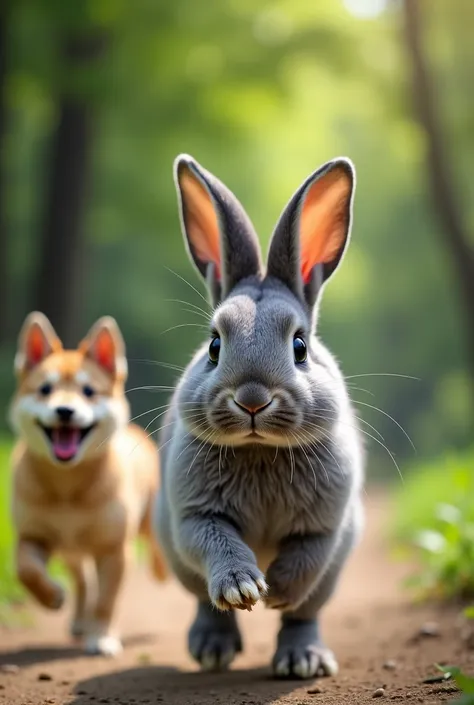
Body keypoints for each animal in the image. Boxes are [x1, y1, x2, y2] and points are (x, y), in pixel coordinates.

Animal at [9, 312, 167, 656]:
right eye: (45, 389)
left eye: (89, 392)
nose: (64, 411)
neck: (68, 488)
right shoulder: (33, 534)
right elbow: (25, 570)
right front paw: (52, 596)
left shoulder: (114, 548)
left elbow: (107, 600)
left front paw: (102, 637)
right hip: (72, 552)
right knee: (83, 582)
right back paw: (80, 619)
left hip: (146, 523)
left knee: (154, 550)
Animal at [152, 154, 362, 676]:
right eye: (214, 345)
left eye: (300, 346)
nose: (251, 399)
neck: (259, 449)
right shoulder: (194, 515)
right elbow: (217, 543)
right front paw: (245, 587)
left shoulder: (327, 526)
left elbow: (306, 560)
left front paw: (278, 592)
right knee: (206, 604)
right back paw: (212, 649)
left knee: (307, 613)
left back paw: (303, 659)